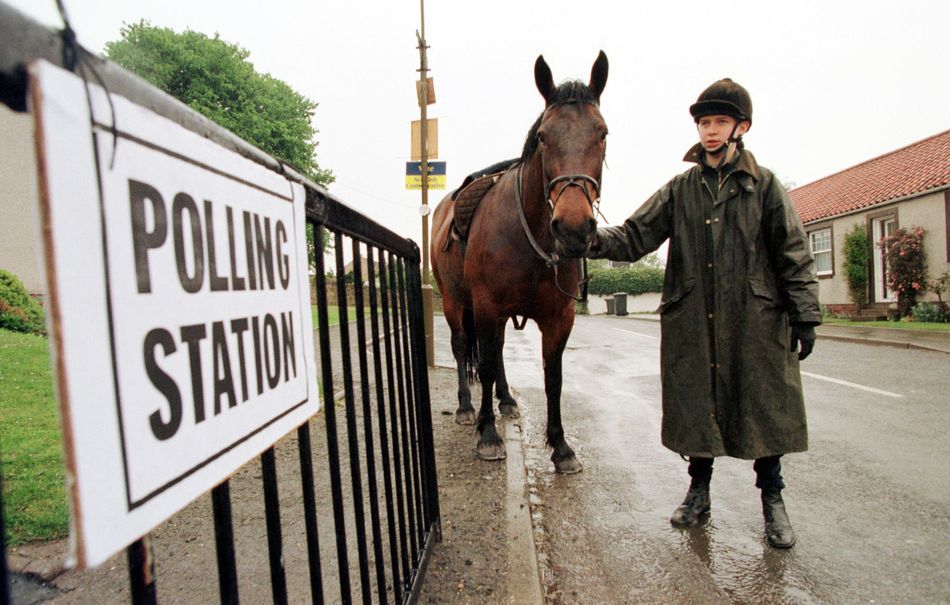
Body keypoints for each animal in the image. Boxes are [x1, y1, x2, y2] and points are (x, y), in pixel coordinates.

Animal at [432, 52, 608, 472]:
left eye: (602, 133)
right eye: (543, 136)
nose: (574, 228)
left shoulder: (559, 317)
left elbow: (552, 377)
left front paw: (560, 446)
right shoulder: (485, 307)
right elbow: (484, 365)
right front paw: (488, 434)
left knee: (496, 354)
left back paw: (507, 400)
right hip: (455, 302)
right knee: (463, 348)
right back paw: (466, 407)